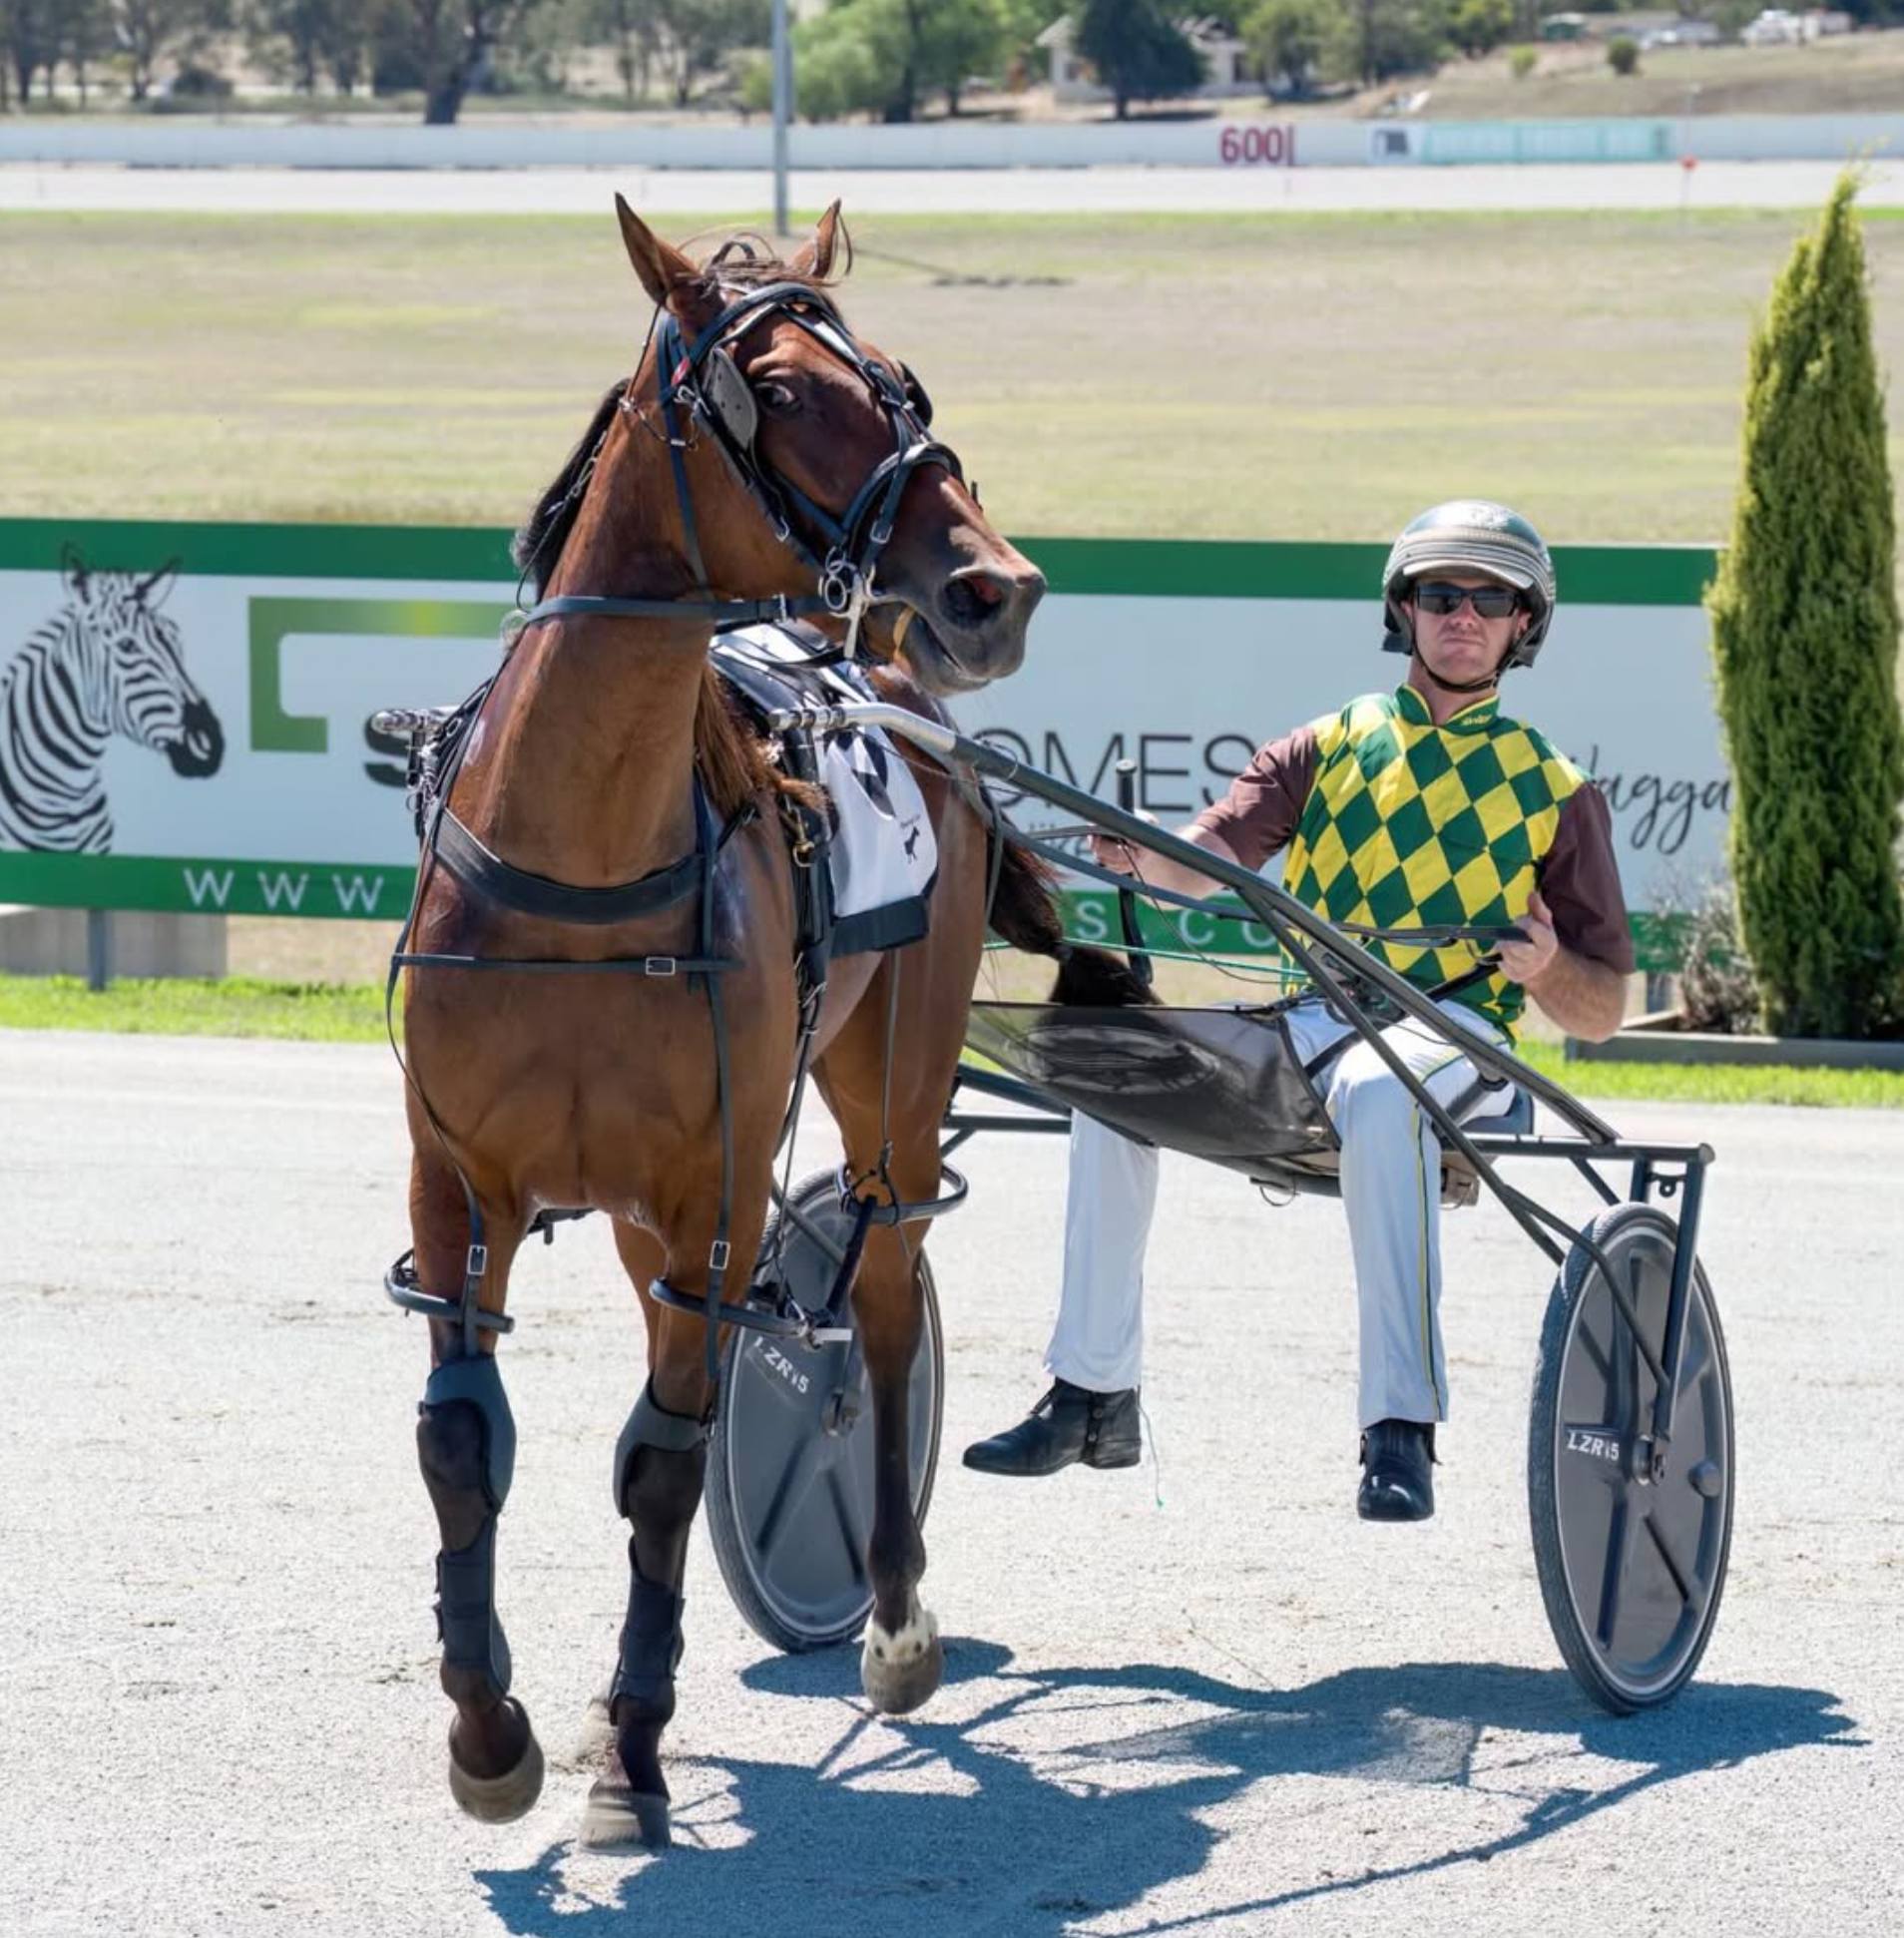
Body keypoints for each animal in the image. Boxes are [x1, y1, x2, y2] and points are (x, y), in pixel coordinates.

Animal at [391, 199, 1107, 1850]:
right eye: (774, 389)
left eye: (899, 374)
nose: (995, 587)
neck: (584, 863)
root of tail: (890, 673)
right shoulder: (456, 1180)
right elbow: (460, 1441)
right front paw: (489, 1732)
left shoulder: (712, 1189)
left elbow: (664, 1462)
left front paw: (631, 1750)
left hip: (888, 1072)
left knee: (887, 1286)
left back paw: (893, 1615)